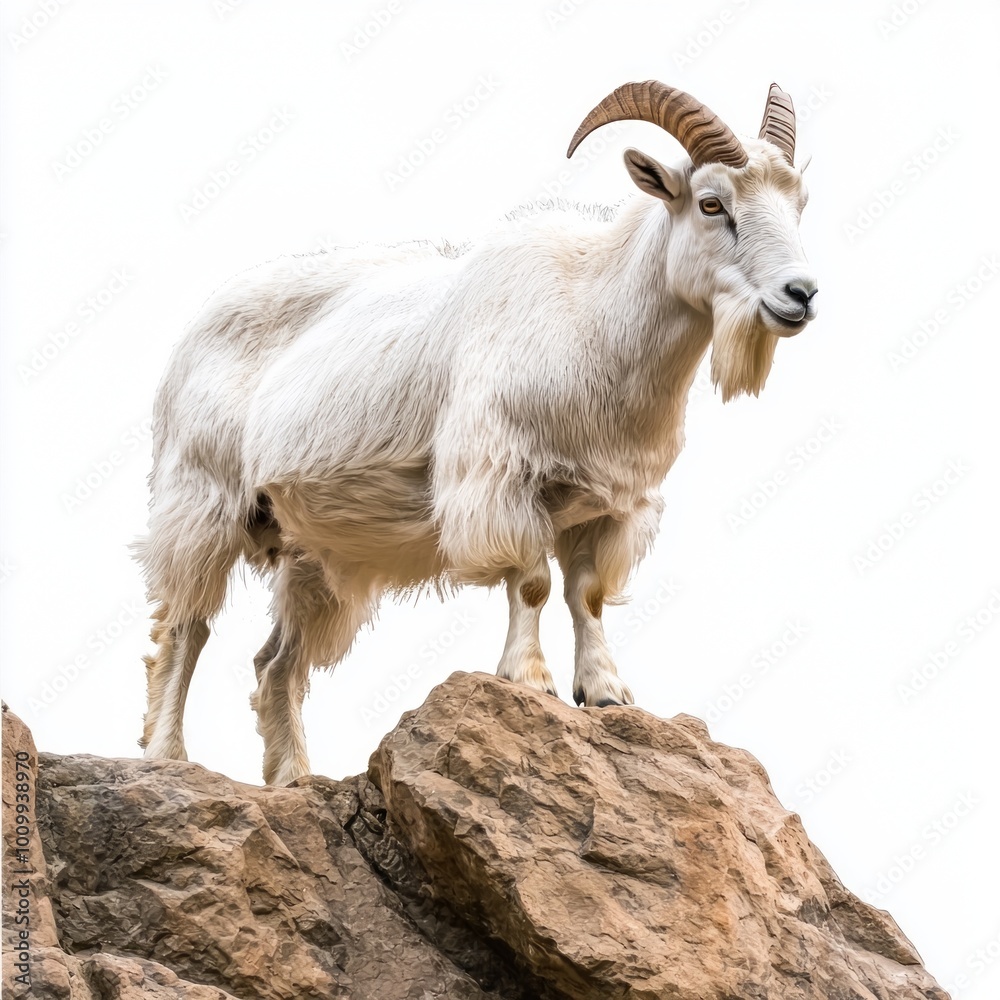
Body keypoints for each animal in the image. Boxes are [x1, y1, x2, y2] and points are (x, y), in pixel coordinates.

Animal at [136, 81, 818, 785]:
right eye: (712, 203)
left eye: (799, 202)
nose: (800, 294)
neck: (594, 317)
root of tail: (196, 326)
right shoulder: (501, 479)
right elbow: (533, 583)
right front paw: (531, 680)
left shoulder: (610, 506)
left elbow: (588, 596)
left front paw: (606, 693)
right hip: (203, 500)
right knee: (184, 627)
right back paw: (167, 755)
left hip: (312, 548)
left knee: (276, 664)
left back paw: (295, 777)